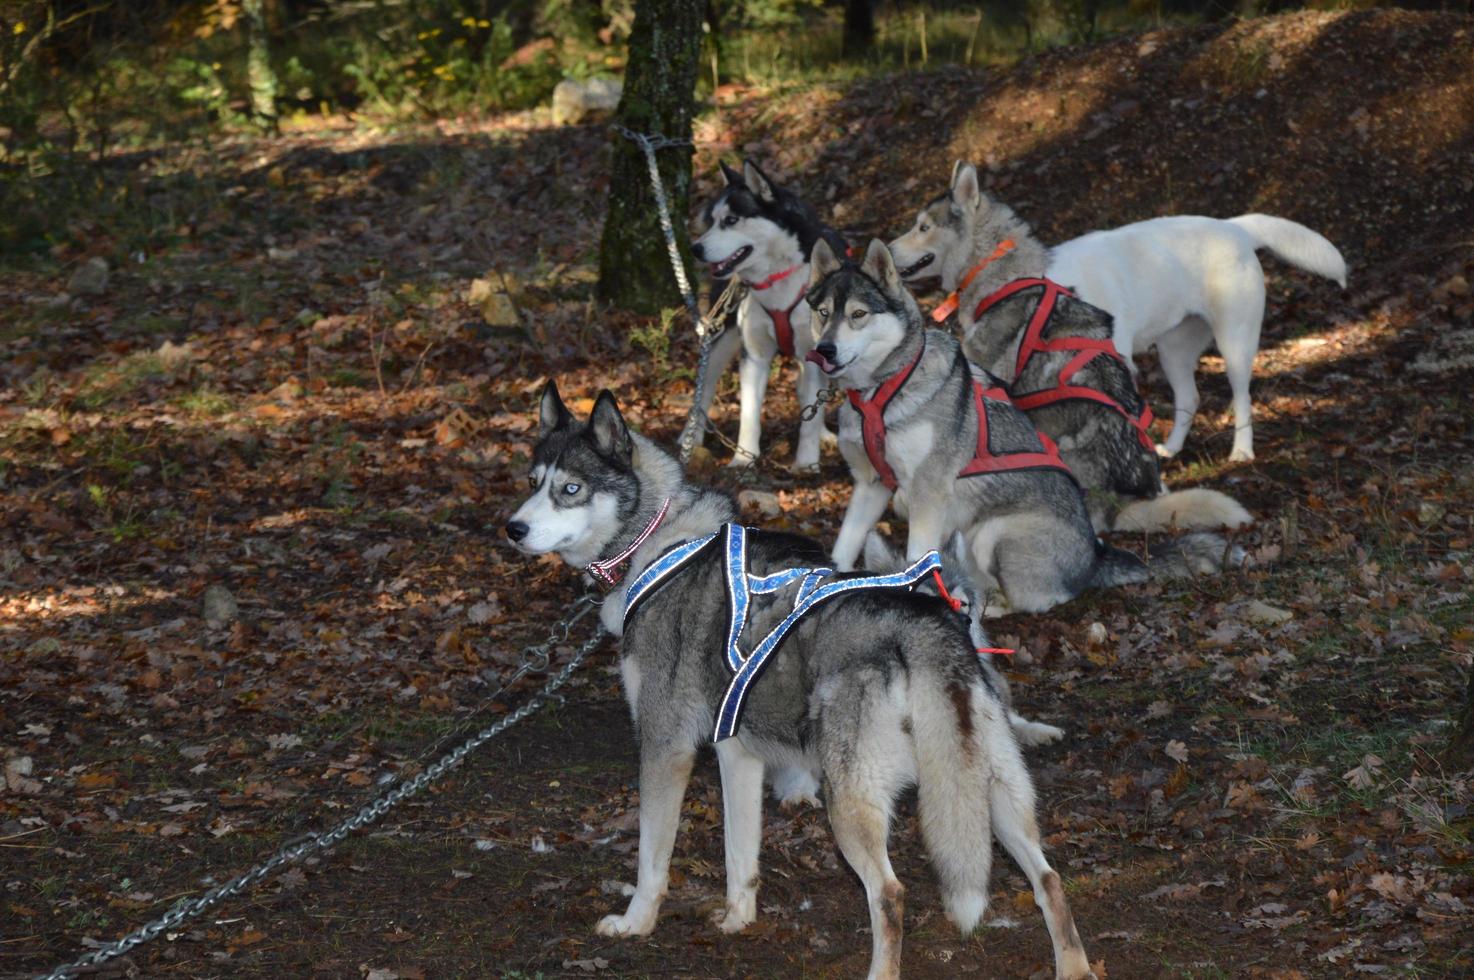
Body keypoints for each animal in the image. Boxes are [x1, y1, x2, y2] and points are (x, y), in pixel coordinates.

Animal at [507, 383, 1096, 978]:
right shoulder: (737, 754)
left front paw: (636, 923)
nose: (513, 529)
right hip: (995, 794)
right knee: (1049, 879)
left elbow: (653, 858)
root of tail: (924, 629)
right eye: (532, 482)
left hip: (853, 803)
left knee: (891, 894)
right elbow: (739, 856)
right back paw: (1074, 967)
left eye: (571, 489)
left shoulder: (664, 746)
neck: (658, 543)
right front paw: (737, 920)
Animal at [686, 159, 849, 471]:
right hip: (720, 339)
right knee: (705, 388)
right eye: (712, 221)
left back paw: (824, 435)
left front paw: (806, 462)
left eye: (731, 220)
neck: (777, 279)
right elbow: (749, 414)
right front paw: (742, 458)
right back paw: (690, 439)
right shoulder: (754, 356)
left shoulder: (812, 353)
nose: (695, 248)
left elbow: (810, 409)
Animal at [801, 237, 1238, 613]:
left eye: (858, 314)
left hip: (994, 533)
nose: (824, 351)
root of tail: (1096, 557)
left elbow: (917, 560)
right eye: (822, 314)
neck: (880, 393)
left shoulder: (928, 495)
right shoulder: (871, 485)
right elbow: (841, 551)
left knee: (1026, 602)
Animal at [884, 160, 1350, 462]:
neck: (1012, 268)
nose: (884, 248)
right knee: (1190, 397)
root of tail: (1234, 227)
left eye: (923, 227)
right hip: (1173, 350)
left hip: (1236, 343)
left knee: (1242, 397)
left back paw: (1241, 452)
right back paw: (1172, 450)